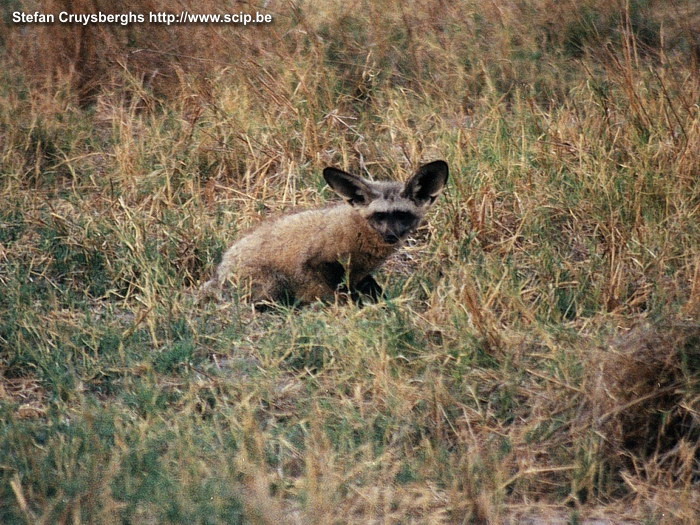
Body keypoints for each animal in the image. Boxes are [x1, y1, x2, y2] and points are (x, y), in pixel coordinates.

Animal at [200, 160, 448, 308]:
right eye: (379, 216)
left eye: (403, 215)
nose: (391, 236)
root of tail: (218, 275)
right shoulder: (317, 262)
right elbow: (338, 294)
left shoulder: (360, 275)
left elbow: (373, 290)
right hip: (272, 285)